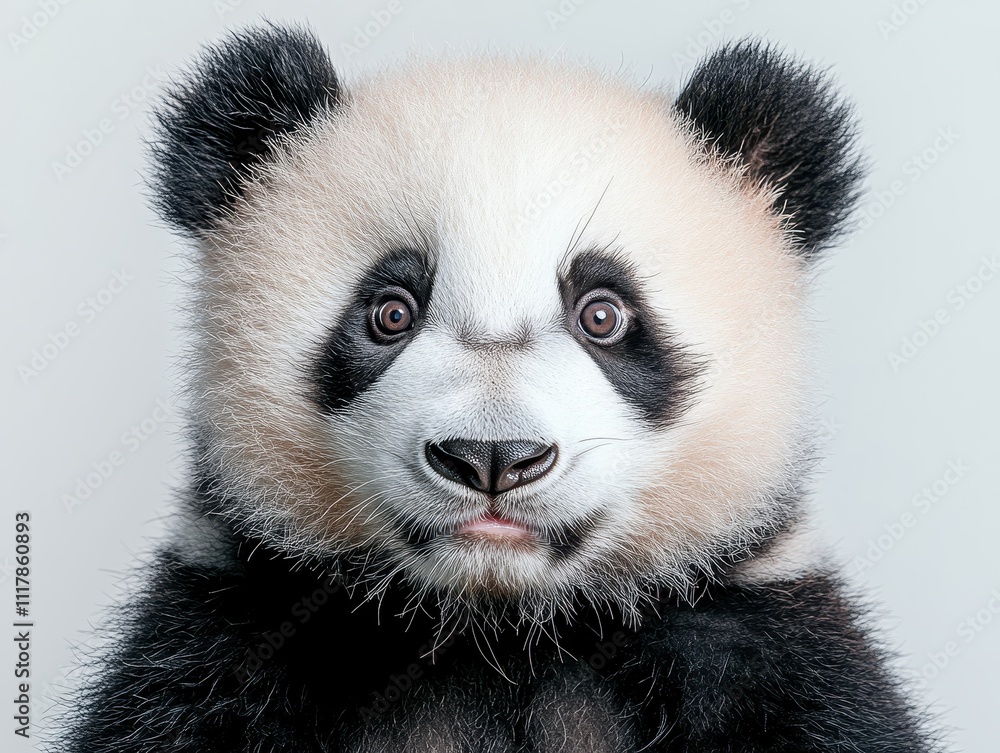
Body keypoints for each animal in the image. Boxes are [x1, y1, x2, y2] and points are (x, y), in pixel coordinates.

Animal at [58, 23, 938, 753]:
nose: (491, 458)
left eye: (603, 314)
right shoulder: (227, 639)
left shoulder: (764, 648)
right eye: (389, 312)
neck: (502, 628)